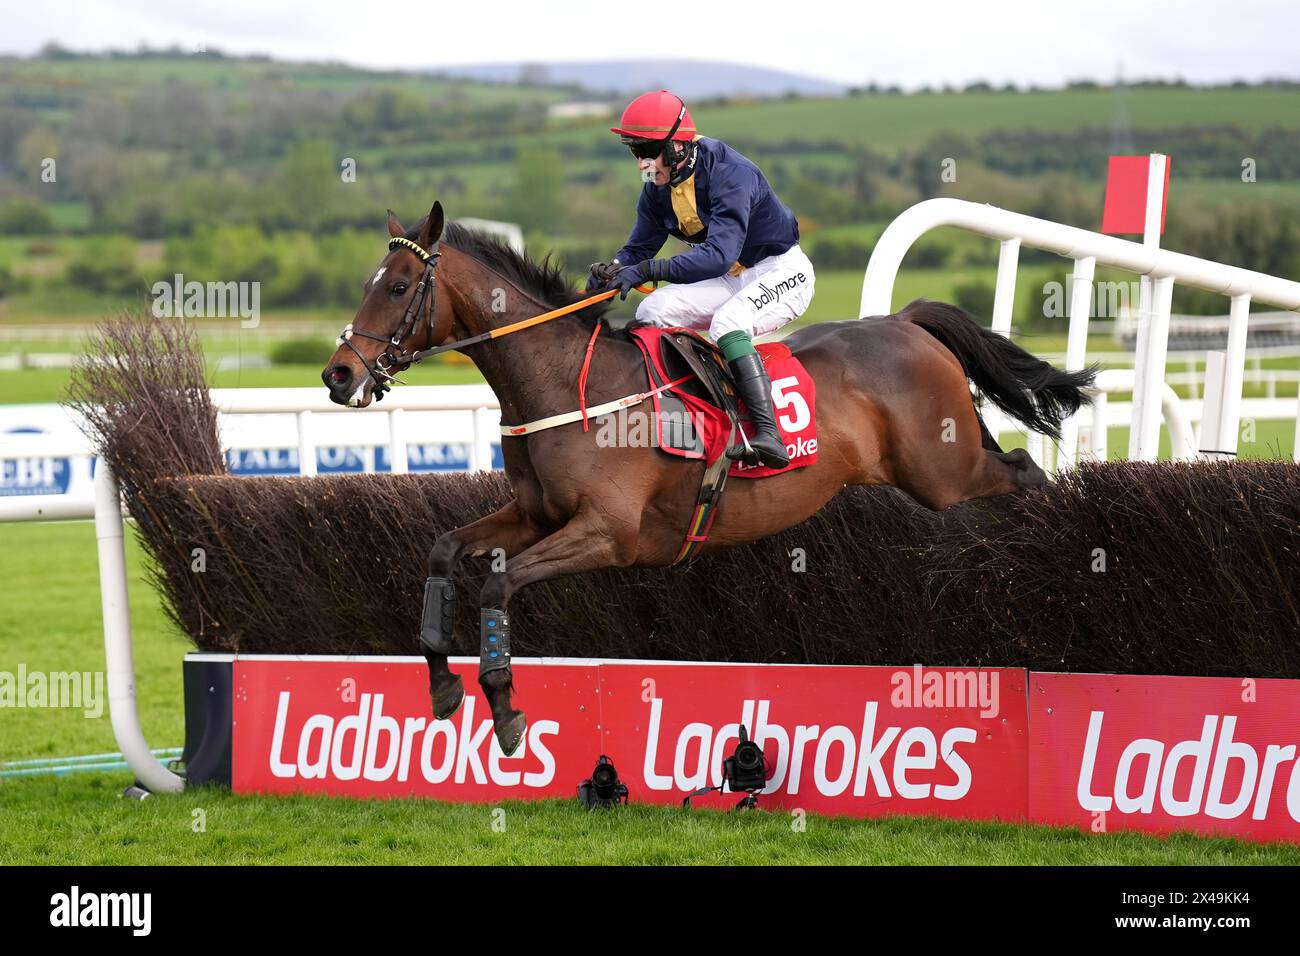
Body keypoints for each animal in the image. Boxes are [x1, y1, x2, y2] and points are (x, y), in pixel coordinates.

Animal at [325, 205, 1097, 759]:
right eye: (363, 285)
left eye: (398, 287)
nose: (338, 375)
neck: (565, 386)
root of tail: (906, 321)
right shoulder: (536, 515)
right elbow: (443, 549)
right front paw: (442, 683)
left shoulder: (609, 533)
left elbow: (498, 583)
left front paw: (507, 708)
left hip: (945, 471)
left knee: (1026, 472)